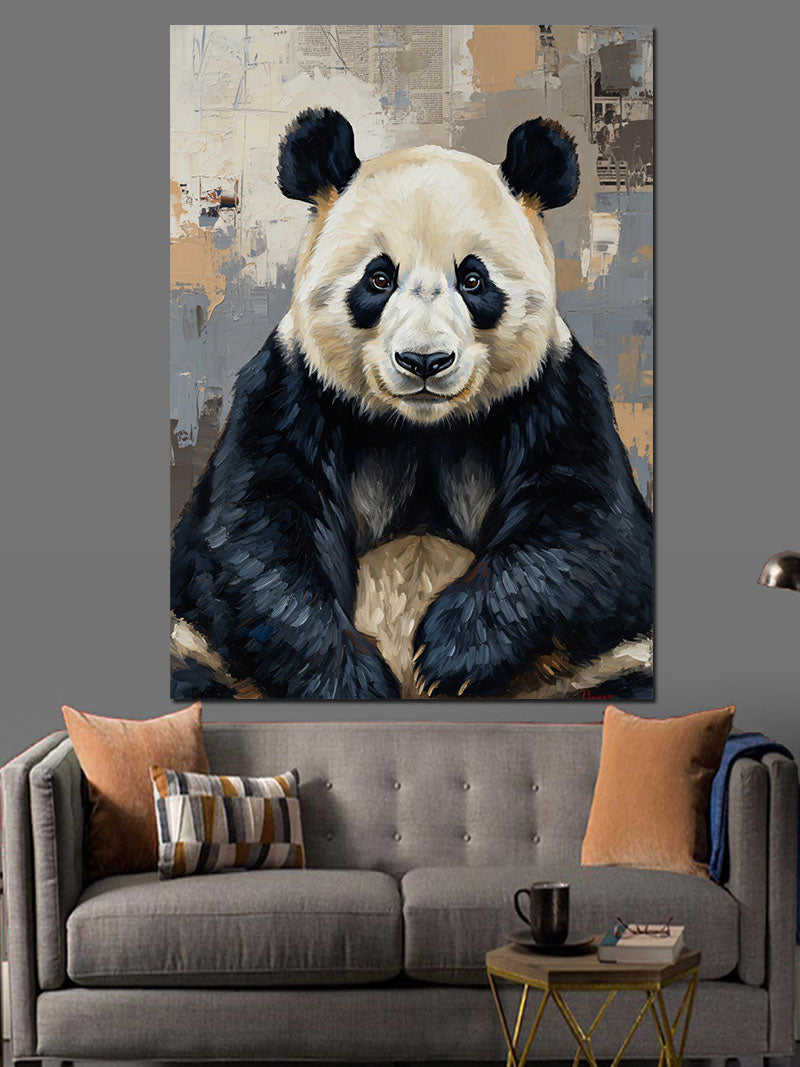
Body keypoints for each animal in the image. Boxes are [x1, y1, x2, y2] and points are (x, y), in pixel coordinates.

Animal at [170, 108, 653, 701]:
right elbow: (255, 528)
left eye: (473, 279)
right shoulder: (293, 388)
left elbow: (590, 530)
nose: (425, 361)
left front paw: (452, 652)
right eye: (379, 278)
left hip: (604, 667)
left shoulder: (554, 390)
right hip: (199, 652)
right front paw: (352, 683)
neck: (421, 426)